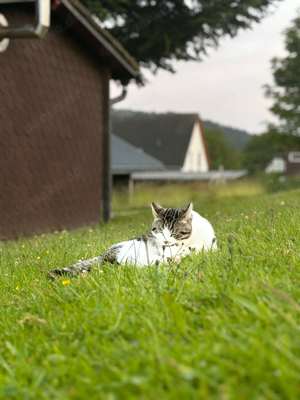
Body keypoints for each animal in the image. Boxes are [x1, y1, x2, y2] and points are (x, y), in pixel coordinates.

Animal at [51, 202, 216, 276]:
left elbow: (203, 247)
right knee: (130, 263)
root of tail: (103, 255)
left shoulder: (212, 244)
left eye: (174, 233)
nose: (165, 242)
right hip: (132, 249)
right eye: (159, 231)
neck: (190, 239)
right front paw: (181, 253)